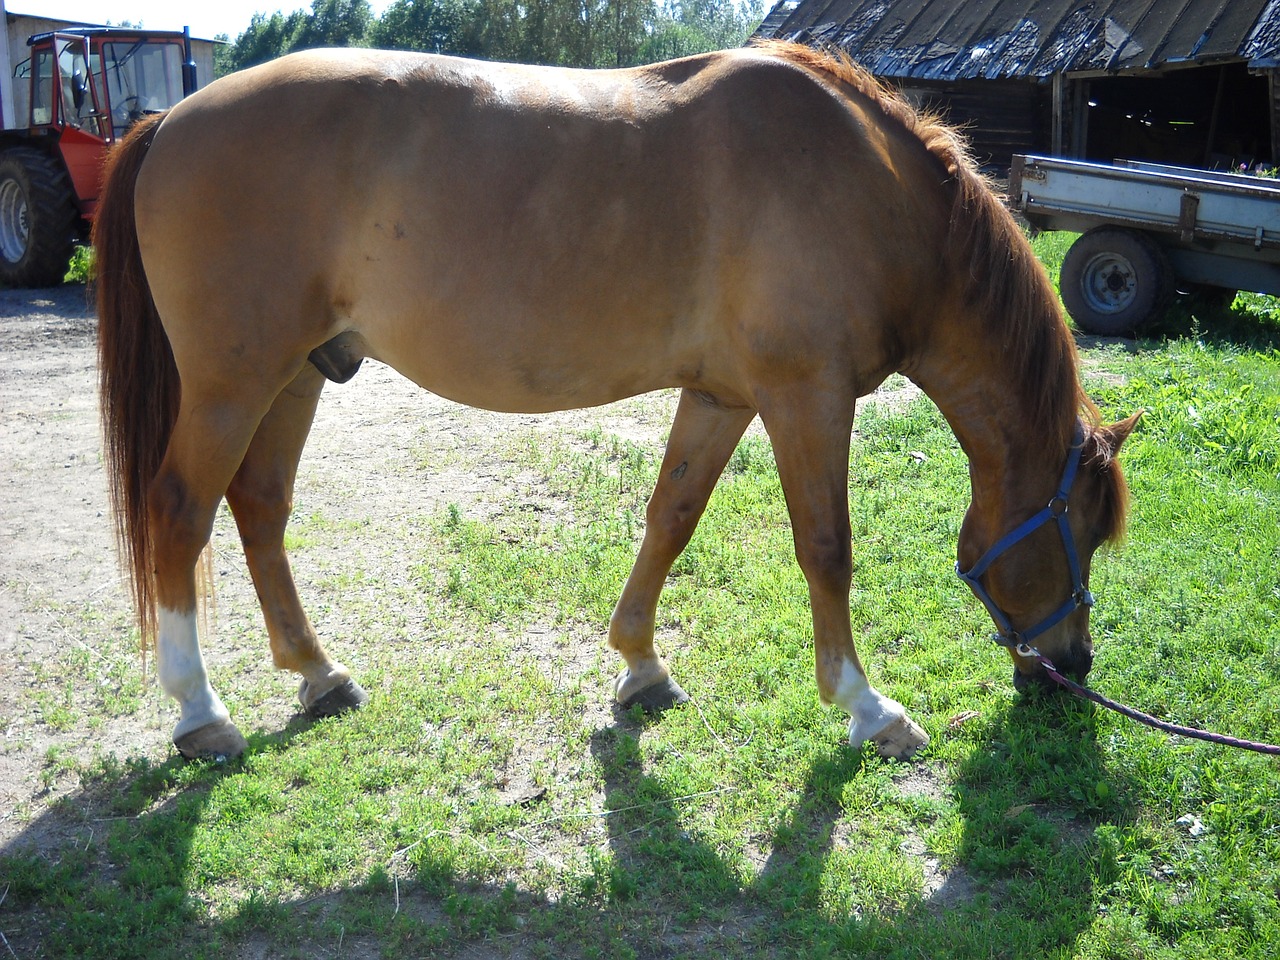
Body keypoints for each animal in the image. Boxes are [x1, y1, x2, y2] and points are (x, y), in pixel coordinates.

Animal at [94, 43, 1136, 768]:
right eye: (1080, 528)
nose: (1073, 669)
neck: (868, 187)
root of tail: (173, 118)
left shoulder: (721, 396)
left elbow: (671, 516)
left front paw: (641, 664)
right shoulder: (807, 395)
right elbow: (827, 548)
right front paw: (868, 709)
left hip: (300, 372)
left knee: (260, 509)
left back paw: (318, 675)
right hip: (233, 383)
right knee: (180, 513)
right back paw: (202, 714)